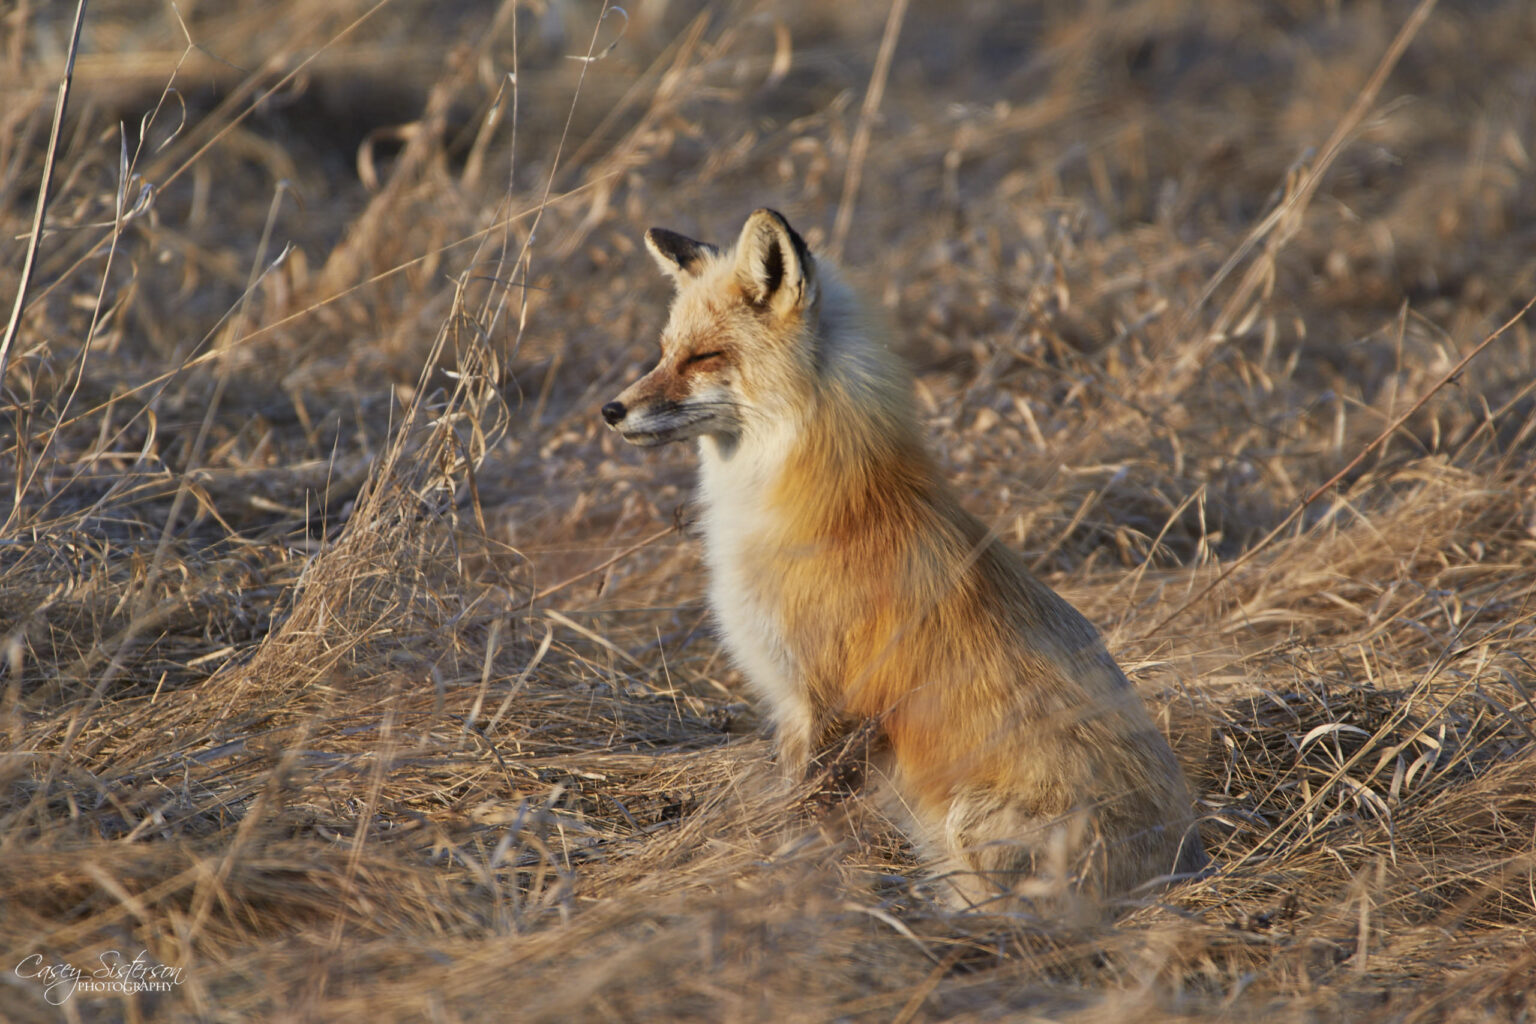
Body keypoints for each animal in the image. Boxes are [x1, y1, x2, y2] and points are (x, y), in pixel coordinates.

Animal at [602, 208, 1208, 909]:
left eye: (704, 357)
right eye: (666, 351)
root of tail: (1188, 866)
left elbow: (796, 820)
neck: (825, 502)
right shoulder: (795, 704)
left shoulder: (831, 704)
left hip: (972, 821)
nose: (611, 409)